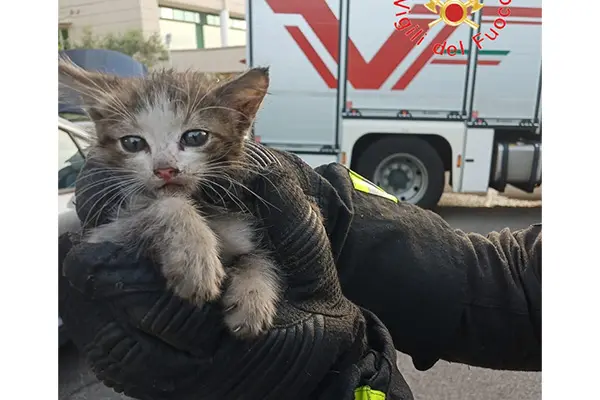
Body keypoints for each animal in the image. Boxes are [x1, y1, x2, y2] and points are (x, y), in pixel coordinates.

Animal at [56, 57, 282, 338]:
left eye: (195, 137)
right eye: (132, 143)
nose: (165, 169)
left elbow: (257, 256)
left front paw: (253, 297)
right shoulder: (99, 236)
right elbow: (167, 204)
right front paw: (194, 257)